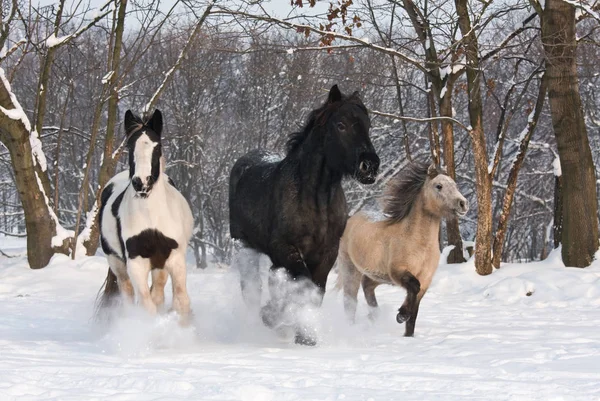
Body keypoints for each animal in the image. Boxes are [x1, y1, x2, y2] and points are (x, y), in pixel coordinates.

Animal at [96, 109, 193, 324]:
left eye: (157, 147)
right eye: (130, 147)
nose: (142, 183)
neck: (152, 219)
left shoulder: (175, 259)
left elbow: (181, 301)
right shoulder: (136, 264)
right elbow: (147, 306)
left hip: (159, 264)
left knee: (158, 292)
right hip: (118, 265)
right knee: (130, 296)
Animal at [227, 85, 378, 344]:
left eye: (368, 124)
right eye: (341, 124)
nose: (370, 166)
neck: (316, 199)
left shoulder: (327, 252)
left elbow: (315, 290)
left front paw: (305, 335)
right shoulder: (286, 248)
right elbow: (303, 283)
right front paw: (280, 320)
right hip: (245, 247)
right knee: (252, 290)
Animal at [338, 161, 468, 336]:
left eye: (455, 185)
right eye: (438, 186)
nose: (463, 203)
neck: (419, 244)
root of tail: (351, 219)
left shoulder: (425, 280)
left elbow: (414, 312)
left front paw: (408, 334)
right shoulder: (398, 271)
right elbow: (413, 287)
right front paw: (401, 315)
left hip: (379, 275)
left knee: (367, 285)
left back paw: (376, 316)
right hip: (351, 270)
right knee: (350, 302)